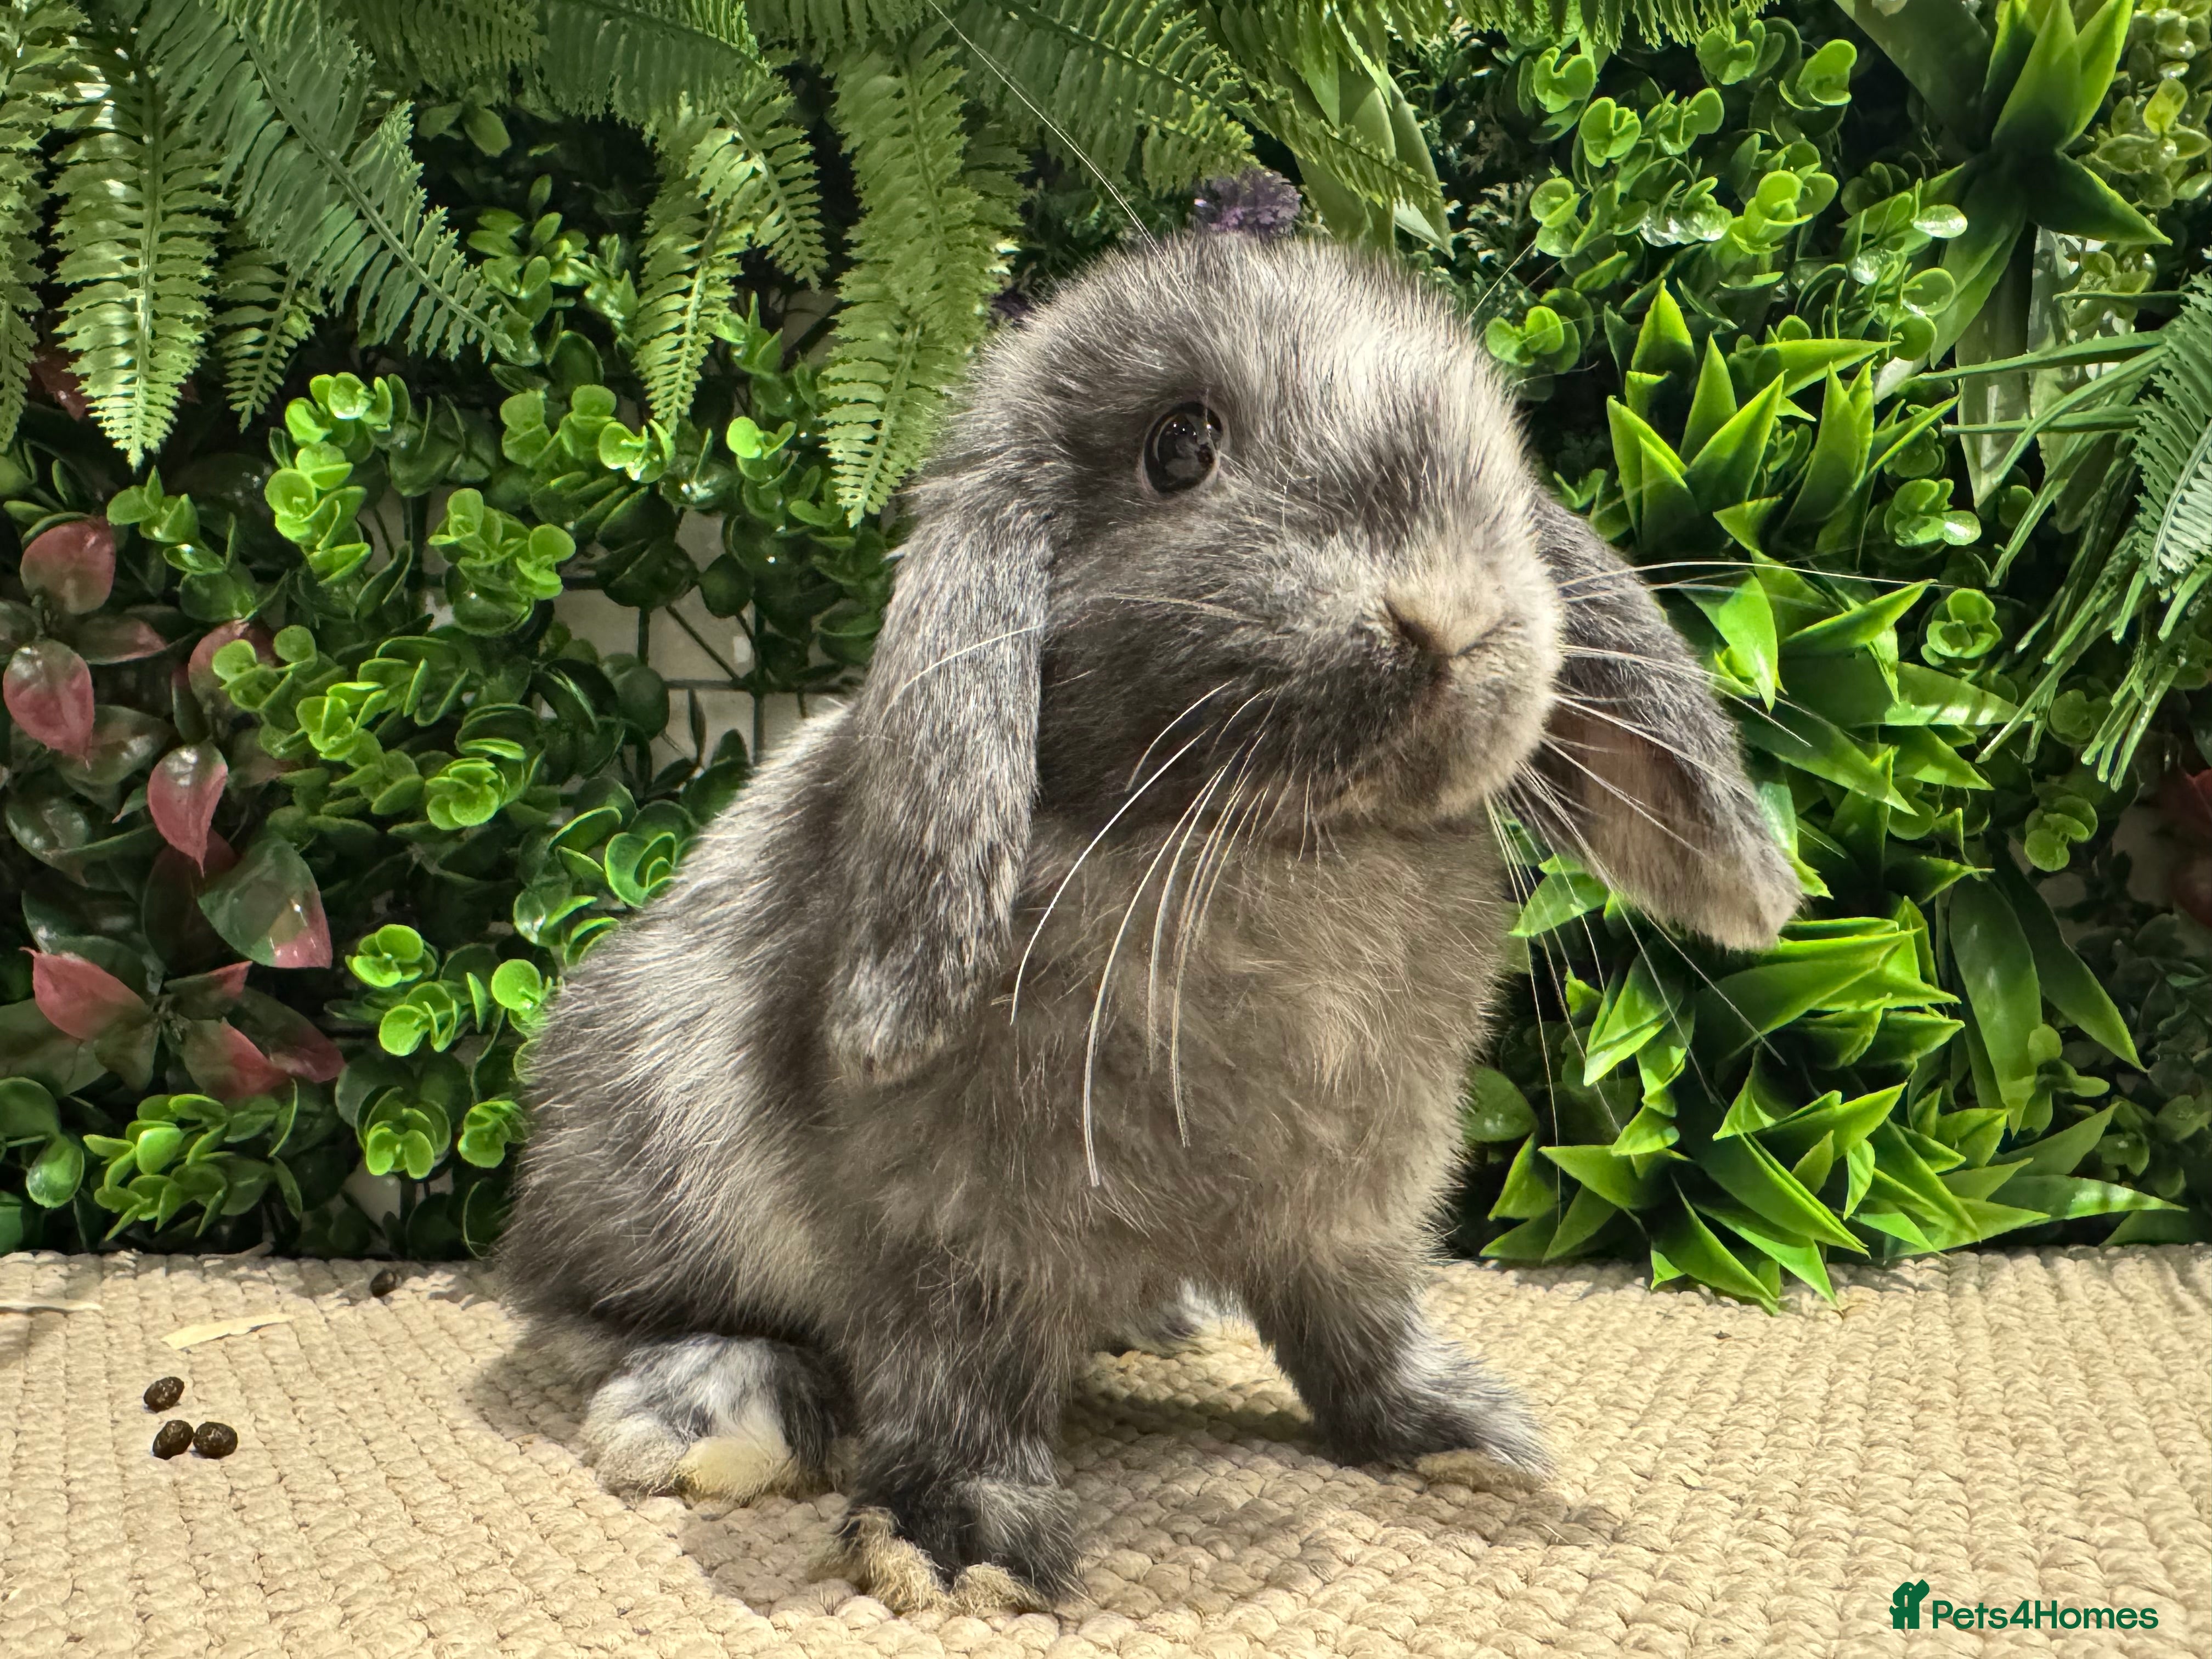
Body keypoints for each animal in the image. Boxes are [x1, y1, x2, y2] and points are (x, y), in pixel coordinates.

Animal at [497, 228, 1802, 1613]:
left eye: (1498, 451)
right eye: (1179, 448)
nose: (1450, 615)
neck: (1273, 847)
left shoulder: (1352, 1209)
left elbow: (1360, 1328)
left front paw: (1459, 1434)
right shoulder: (953, 1216)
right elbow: (957, 1371)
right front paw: (953, 1545)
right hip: (644, 1138)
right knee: (580, 1305)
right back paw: (708, 1409)